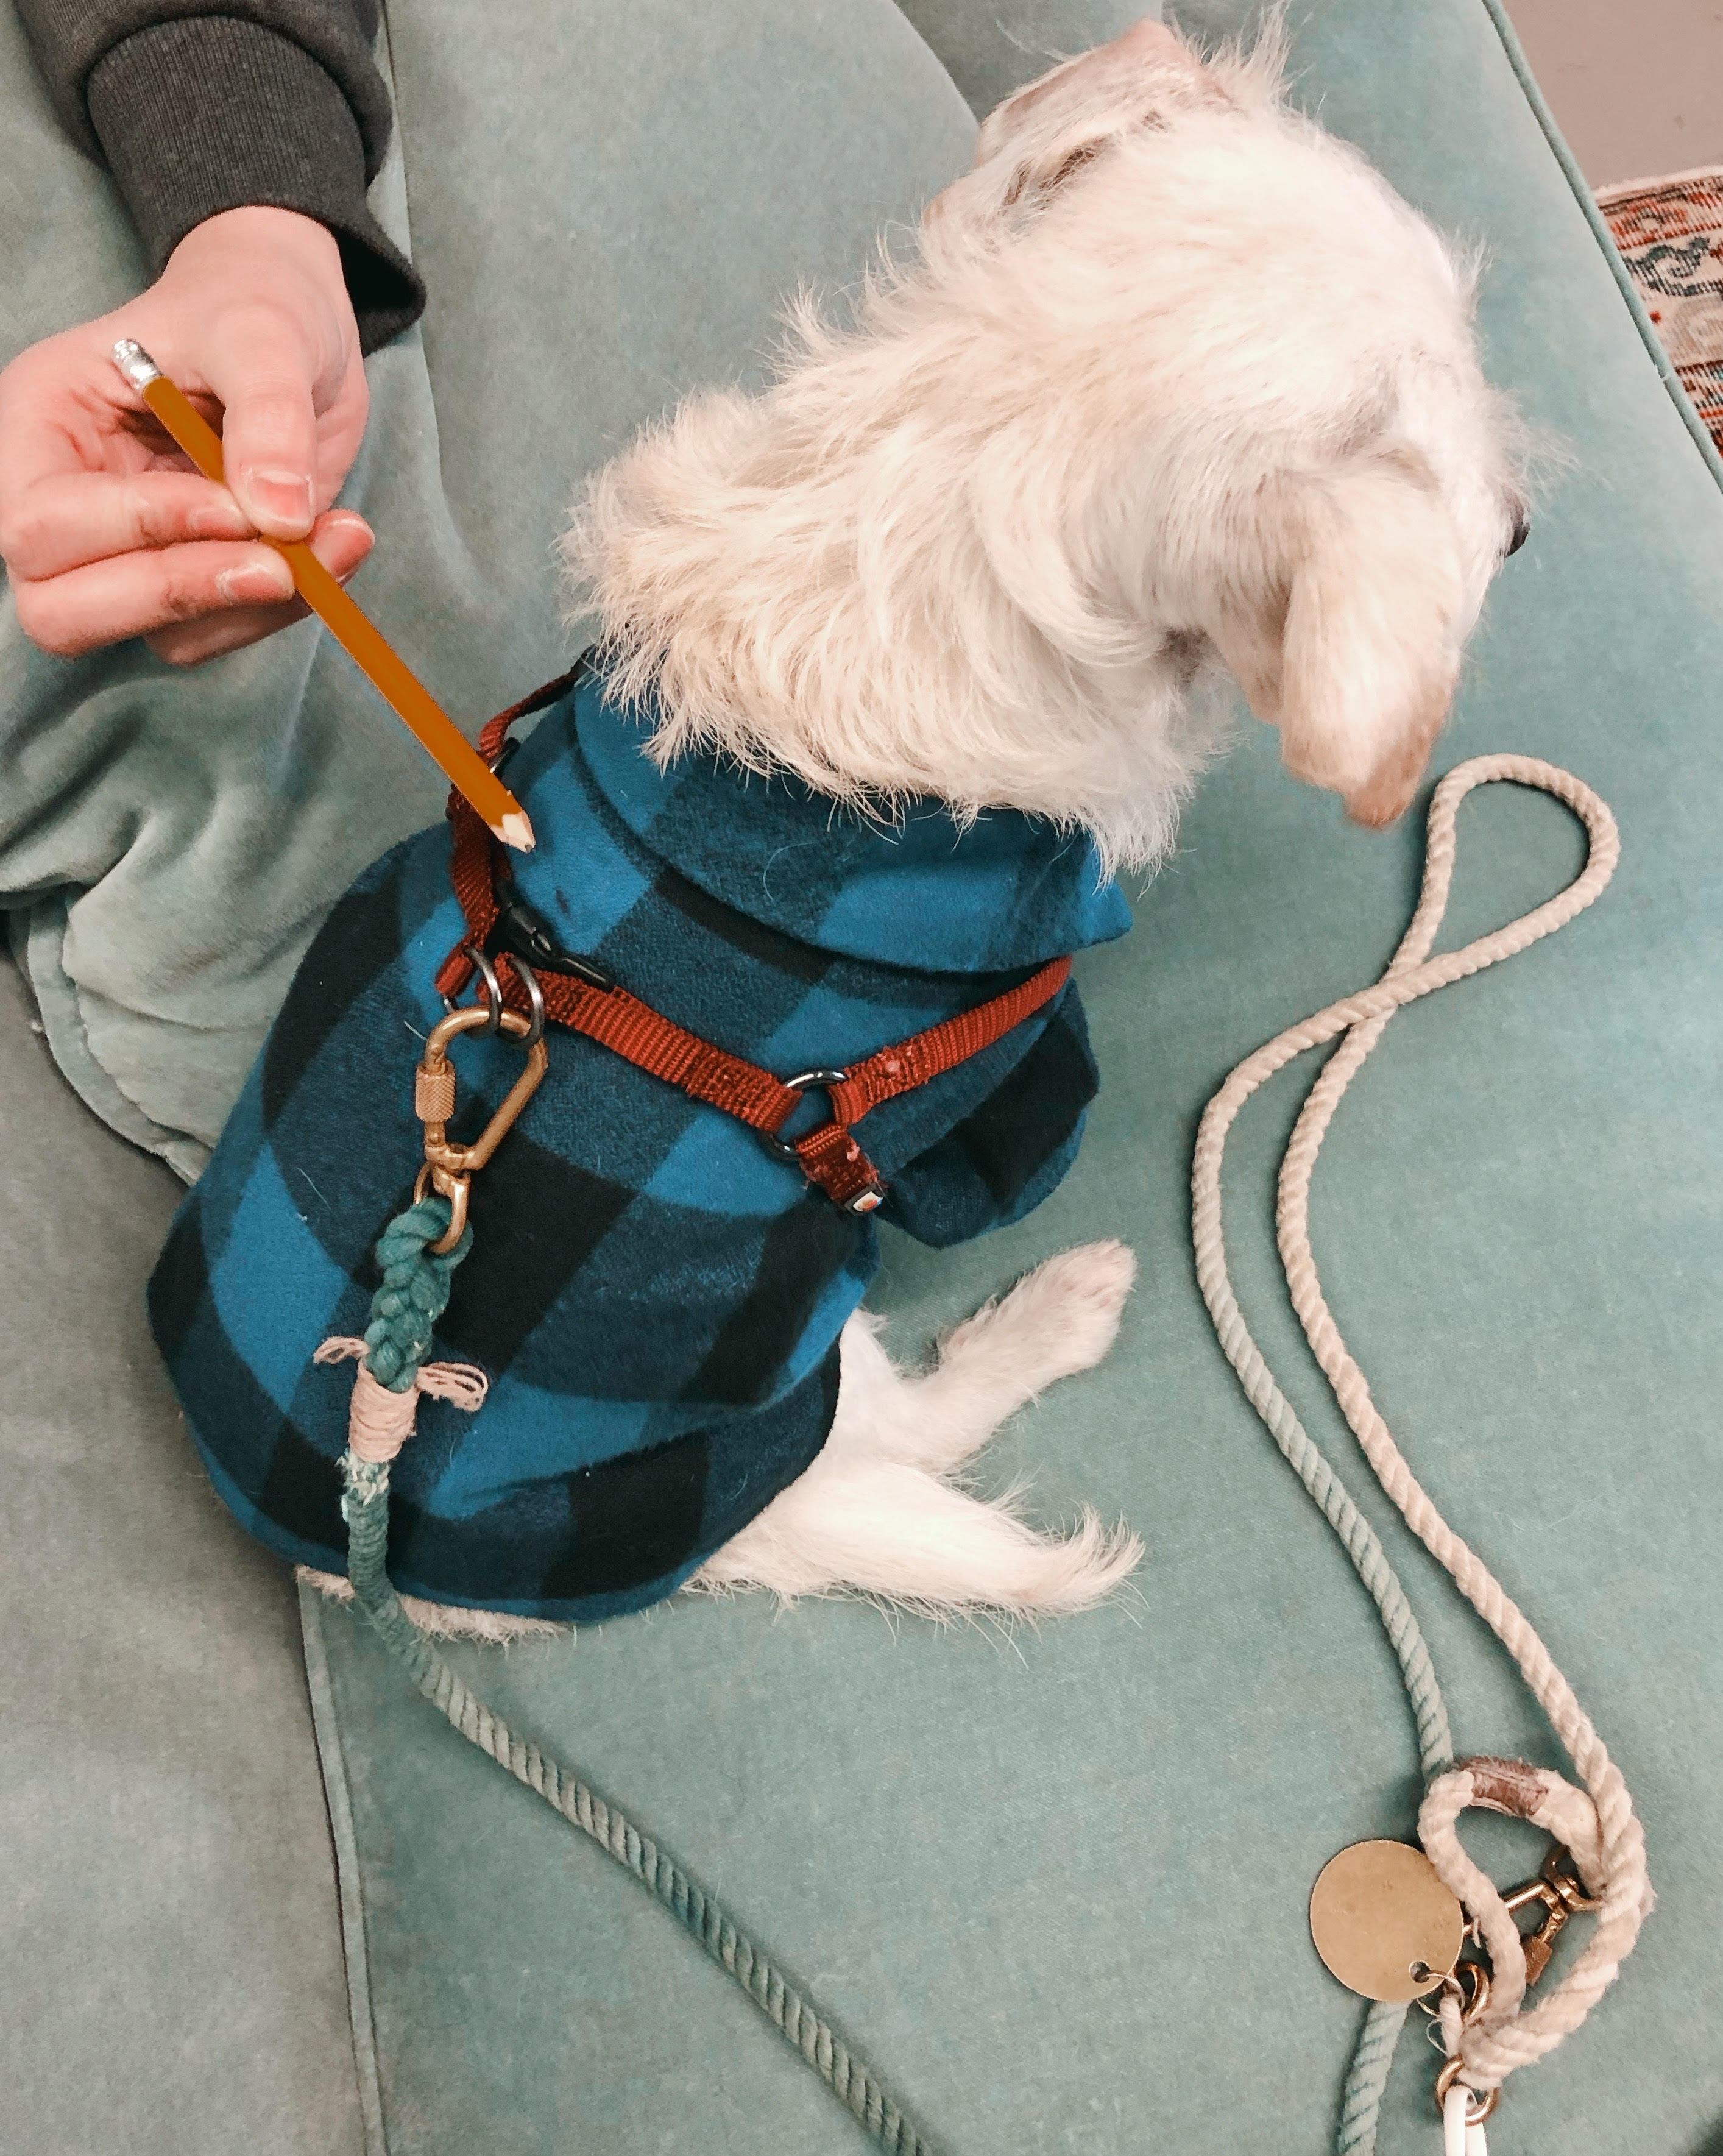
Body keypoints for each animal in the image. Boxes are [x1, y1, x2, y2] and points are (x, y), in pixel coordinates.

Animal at [310, 16, 1526, 1638]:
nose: (1520, 523)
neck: (964, 456)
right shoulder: (1007, 1074)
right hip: (808, 1356)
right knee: (928, 1421)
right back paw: (1064, 1307)